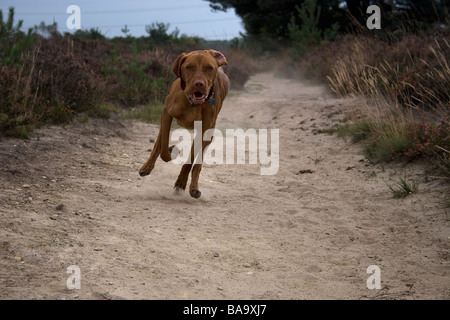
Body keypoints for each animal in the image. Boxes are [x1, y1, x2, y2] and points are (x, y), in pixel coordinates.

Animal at [138, 49, 230, 198]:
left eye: (209, 68)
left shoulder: (203, 131)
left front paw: (181, 182)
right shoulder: (166, 114)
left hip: (209, 136)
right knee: (158, 143)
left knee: (198, 163)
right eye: (189, 67)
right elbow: (163, 150)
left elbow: (190, 161)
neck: (193, 104)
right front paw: (172, 151)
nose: (199, 84)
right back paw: (147, 167)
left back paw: (194, 186)